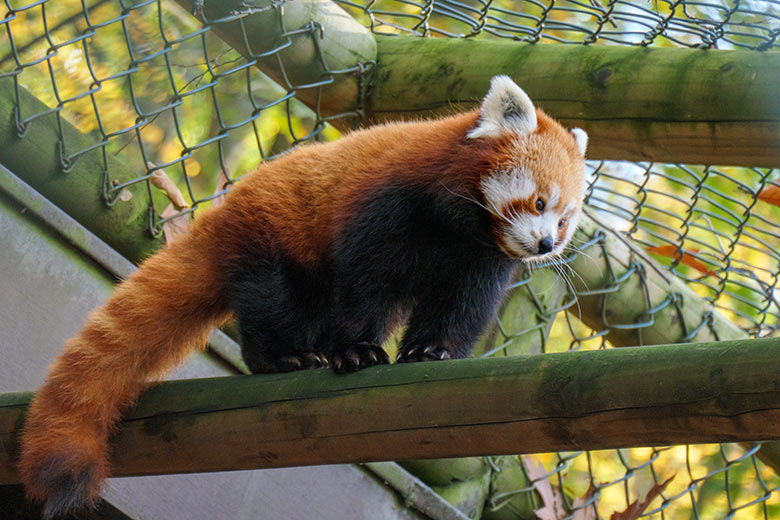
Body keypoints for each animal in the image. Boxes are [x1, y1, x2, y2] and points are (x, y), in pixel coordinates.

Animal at [18, 75, 588, 516]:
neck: (459, 226)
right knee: (274, 300)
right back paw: (282, 356)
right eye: (540, 202)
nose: (545, 244)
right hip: (272, 237)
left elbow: (459, 310)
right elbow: (365, 282)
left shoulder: (479, 261)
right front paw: (358, 351)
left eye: (564, 221)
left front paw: (432, 350)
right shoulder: (388, 205)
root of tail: (222, 214)